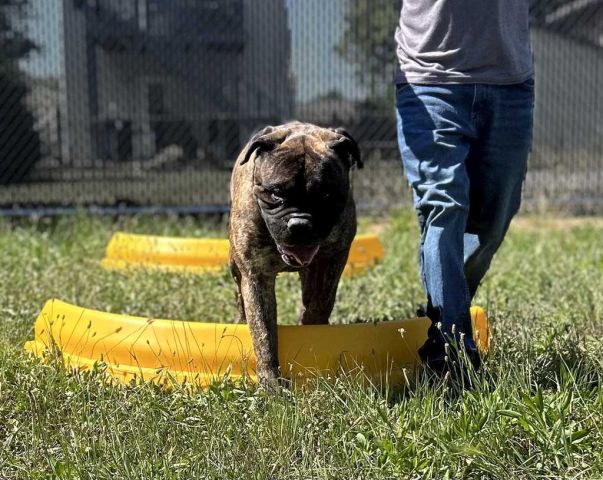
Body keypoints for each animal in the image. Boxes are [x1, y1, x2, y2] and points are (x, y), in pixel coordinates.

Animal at [229, 122, 364, 388]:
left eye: (325, 196)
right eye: (276, 194)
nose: (300, 225)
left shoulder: (332, 259)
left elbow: (320, 302)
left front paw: (312, 328)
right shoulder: (255, 276)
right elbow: (263, 331)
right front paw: (271, 381)